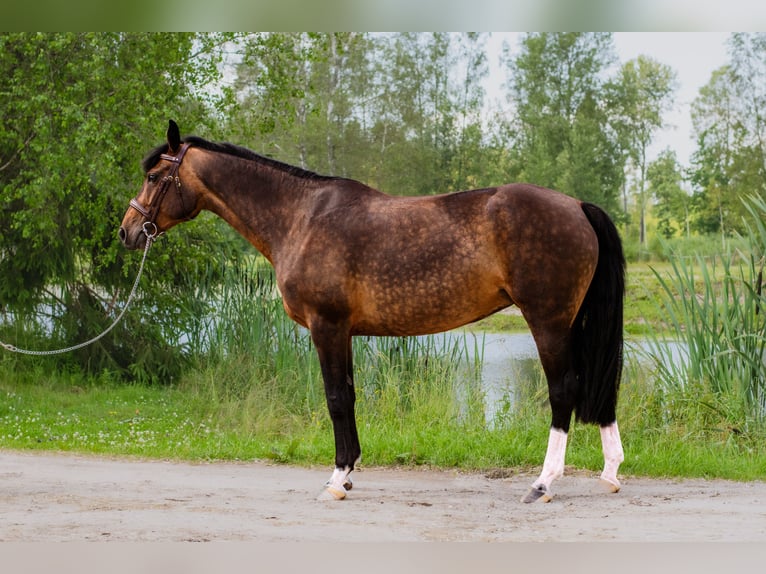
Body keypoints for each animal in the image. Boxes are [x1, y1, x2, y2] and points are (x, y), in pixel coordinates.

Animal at [119, 120, 625, 503]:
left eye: (153, 177)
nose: (127, 231)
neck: (301, 218)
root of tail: (577, 205)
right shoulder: (343, 333)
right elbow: (349, 396)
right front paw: (348, 474)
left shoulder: (326, 327)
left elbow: (335, 400)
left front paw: (336, 479)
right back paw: (610, 472)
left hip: (548, 322)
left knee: (563, 391)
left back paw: (543, 483)